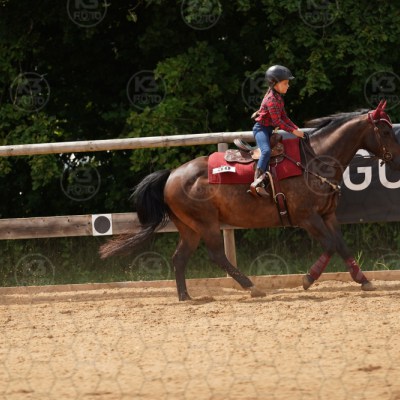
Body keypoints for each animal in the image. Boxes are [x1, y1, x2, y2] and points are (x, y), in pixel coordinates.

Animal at [100, 100, 400, 301]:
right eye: (385, 132)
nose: (397, 159)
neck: (315, 159)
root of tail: (172, 175)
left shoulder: (328, 215)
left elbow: (342, 246)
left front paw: (363, 280)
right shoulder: (308, 218)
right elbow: (329, 246)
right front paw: (307, 279)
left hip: (190, 229)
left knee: (179, 258)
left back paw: (186, 296)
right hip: (206, 224)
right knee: (216, 255)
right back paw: (251, 286)